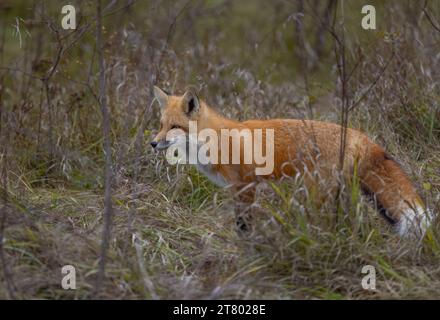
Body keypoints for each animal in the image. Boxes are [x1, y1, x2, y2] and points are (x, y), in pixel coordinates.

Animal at [151, 86, 434, 239]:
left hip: (314, 192)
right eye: (161, 125)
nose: (153, 143)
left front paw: (245, 246)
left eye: (174, 127)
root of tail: (361, 136)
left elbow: (243, 225)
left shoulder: (245, 188)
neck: (217, 140)